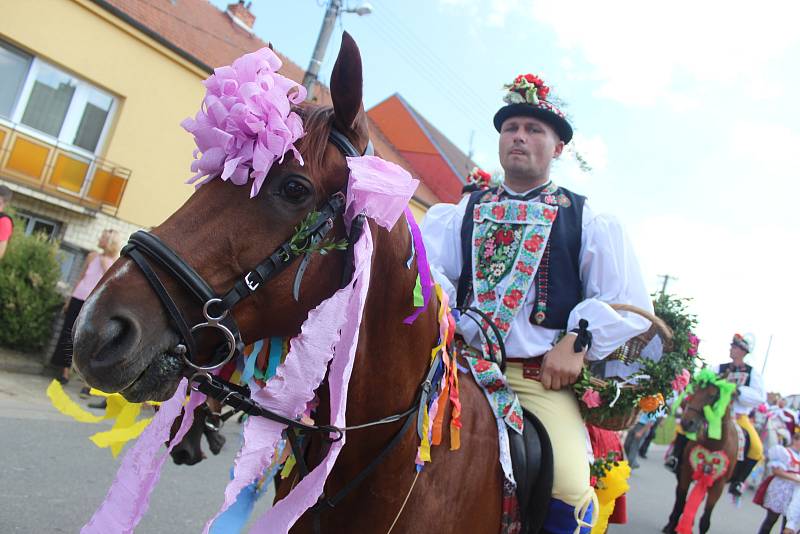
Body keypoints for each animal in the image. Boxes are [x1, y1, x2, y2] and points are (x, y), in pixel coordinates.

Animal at [664, 370, 736, 534]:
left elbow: (705, 520)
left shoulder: (718, 486)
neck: (714, 444)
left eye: (713, 395)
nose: (686, 423)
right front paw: (672, 526)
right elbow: (680, 502)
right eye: (694, 390)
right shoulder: (685, 473)